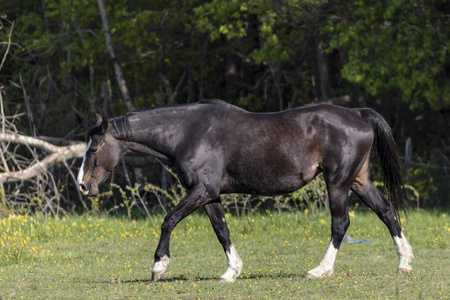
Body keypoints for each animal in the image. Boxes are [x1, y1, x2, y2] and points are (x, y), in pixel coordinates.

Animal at [76, 100, 412, 282]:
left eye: (93, 148)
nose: (82, 185)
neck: (188, 132)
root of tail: (357, 112)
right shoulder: (210, 195)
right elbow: (221, 231)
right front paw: (231, 272)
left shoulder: (201, 190)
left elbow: (168, 220)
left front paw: (159, 267)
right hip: (358, 180)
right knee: (386, 211)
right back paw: (404, 263)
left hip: (338, 182)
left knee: (341, 224)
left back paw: (319, 270)